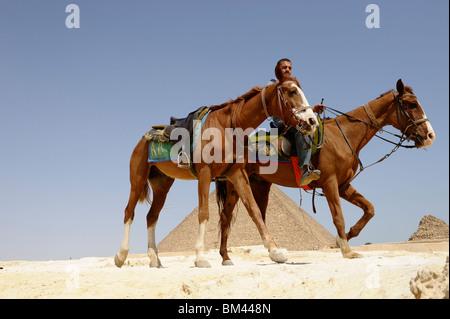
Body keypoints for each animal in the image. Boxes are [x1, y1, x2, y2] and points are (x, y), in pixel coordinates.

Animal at [115, 76, 320, 268]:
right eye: (292, 91)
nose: (312, 121)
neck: (228, 126)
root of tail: (143, 138)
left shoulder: (237, 174)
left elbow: (254, 210)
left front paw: (275, 252)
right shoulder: (204, 174)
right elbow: (204, 213)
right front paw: (200, 257)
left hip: (162, 184)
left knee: (151, 216)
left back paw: (154, 259)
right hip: (138, 177)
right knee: (129, 212)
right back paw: (121, 255)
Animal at [216, 79, 434, 264]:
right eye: (412, 104)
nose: (430, 135)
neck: (343, 135)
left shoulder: (343, 185)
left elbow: (369, 209)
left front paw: (344, 239)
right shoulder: (330, 182)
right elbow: (338, 217)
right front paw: (346, 250)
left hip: (259, 184)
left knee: (250, 214)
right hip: (235, 183)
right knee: (229, 216)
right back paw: (231, 256)